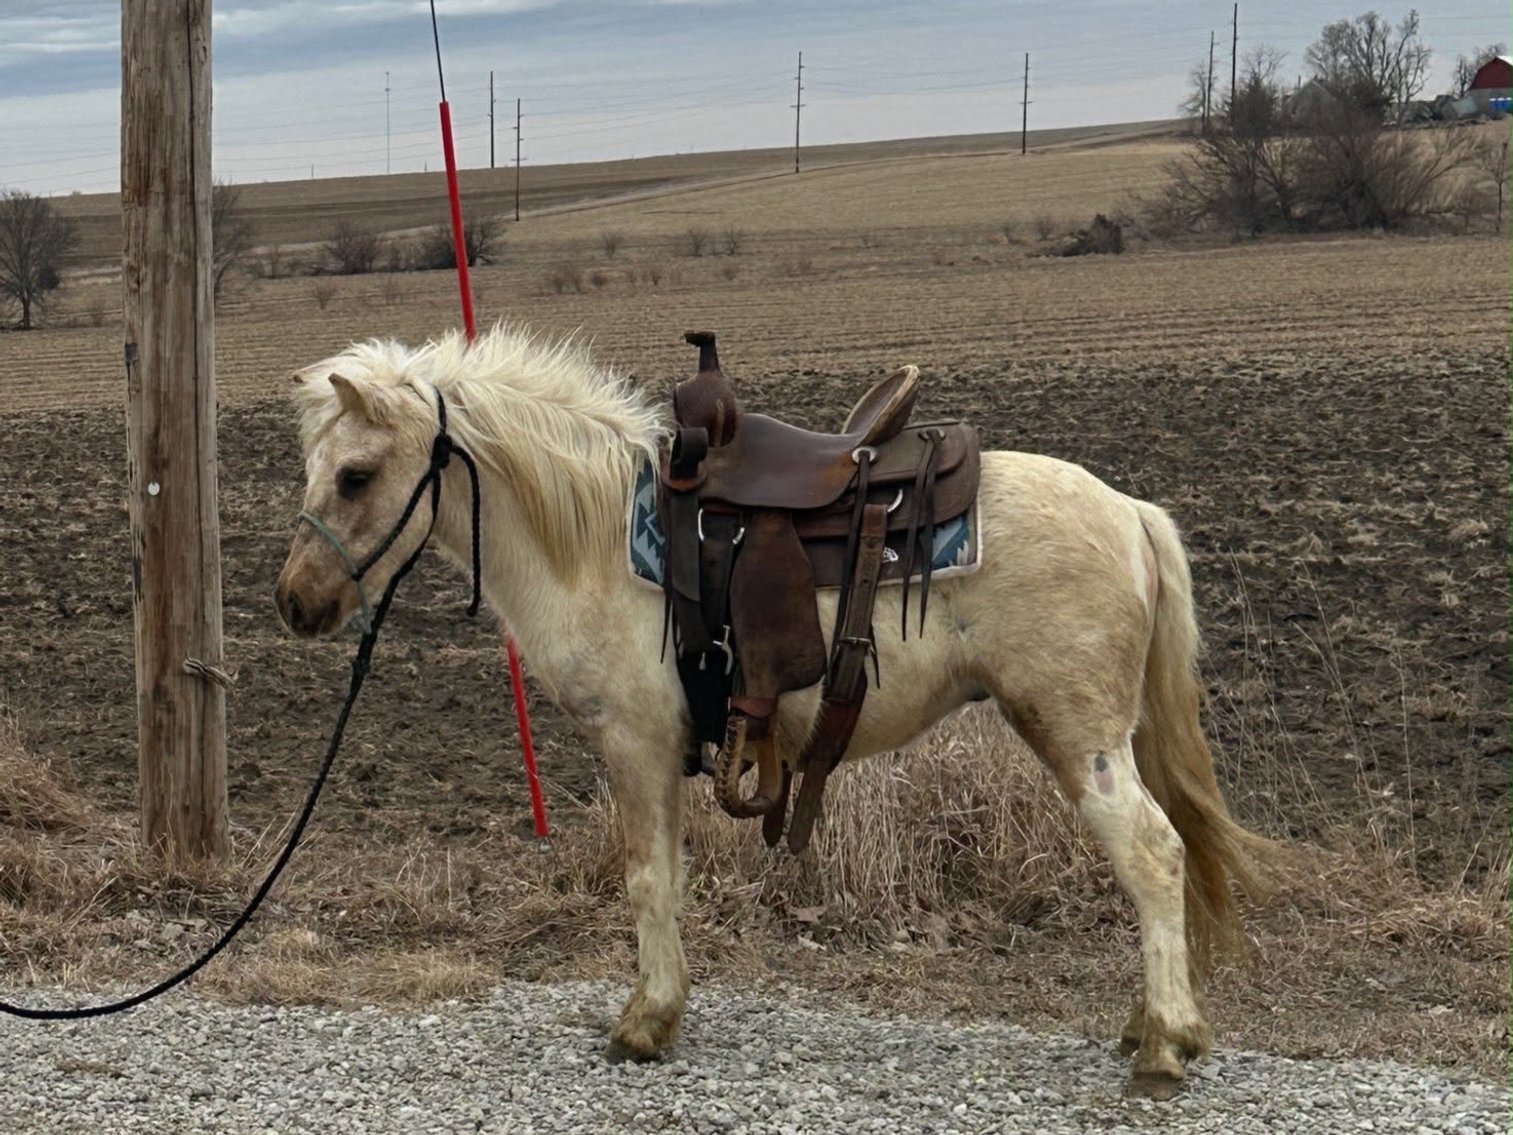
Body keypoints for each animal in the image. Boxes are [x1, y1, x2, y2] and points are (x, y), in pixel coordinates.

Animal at [274, 323, 1268, 1099]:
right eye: (314, 469)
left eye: (356, 475)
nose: (295, 602)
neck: (597, 536)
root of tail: (1130, 511)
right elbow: (666, 878)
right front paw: (661, 1011)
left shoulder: (635, 741)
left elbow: (646, 879)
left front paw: (644, 1022)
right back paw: (1152, 1025)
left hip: (1076, 734)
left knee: (1151, 852)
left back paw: (1163, 1043)